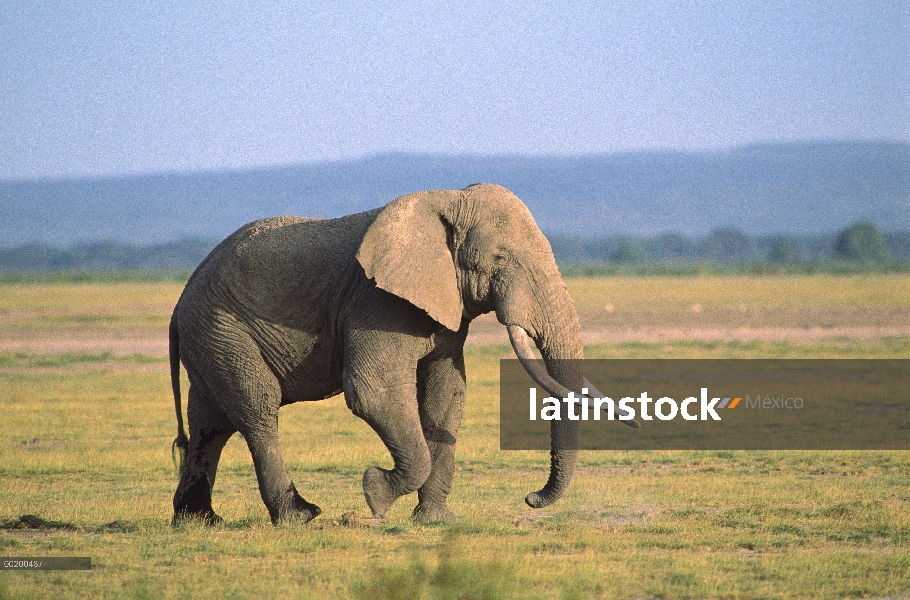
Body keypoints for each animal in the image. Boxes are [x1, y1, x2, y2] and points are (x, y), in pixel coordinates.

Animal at [173, 183, 640, 524]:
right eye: (500, 258)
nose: (530, 498)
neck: (447, 200)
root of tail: (180, 302)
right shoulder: (375, 301)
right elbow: (372, 393)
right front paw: (376, 495)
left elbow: (447, 393)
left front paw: (435, 521)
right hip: (224, 330)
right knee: (257, 410)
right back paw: (299, 517)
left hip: (212, 340)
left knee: (210, 424)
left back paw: (198, 522)